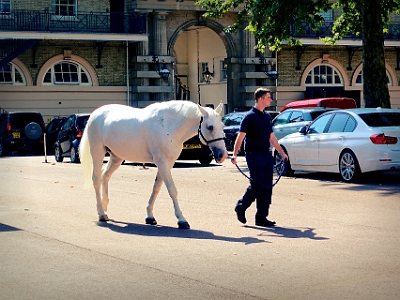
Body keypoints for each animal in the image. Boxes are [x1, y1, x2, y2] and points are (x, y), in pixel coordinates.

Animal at [79, 99, 227, 229]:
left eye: (222, 126)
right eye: (210, 127)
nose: (222, 155)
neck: (169, 126)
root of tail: (94, 114)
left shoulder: (167, 163)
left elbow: (156, 188)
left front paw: (150, 216)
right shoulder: (162, 162)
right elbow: (172, 190)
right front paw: (181, 220)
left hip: (117, 157)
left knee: (105, 176)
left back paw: (105, 207)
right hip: (97, 153)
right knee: (96, 179)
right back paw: (101, 213)